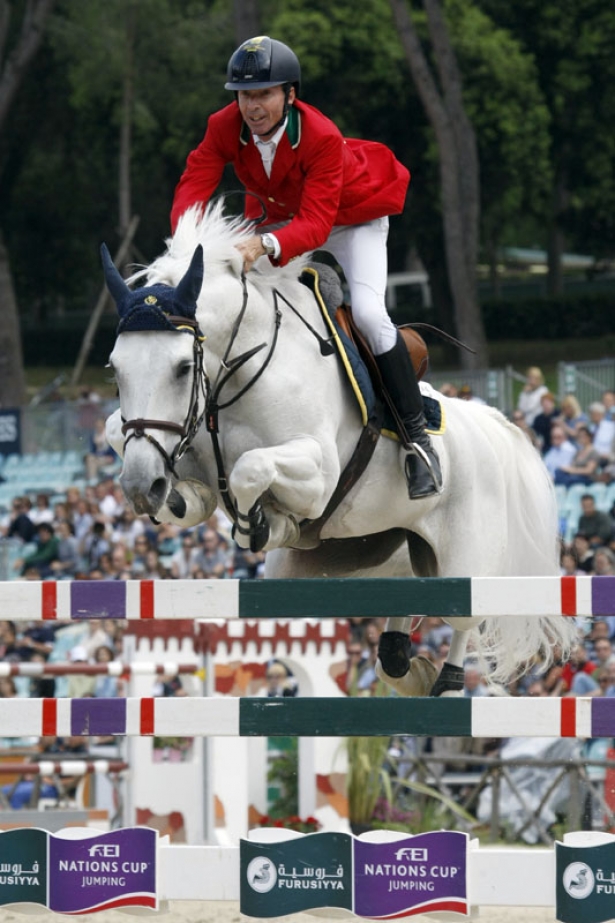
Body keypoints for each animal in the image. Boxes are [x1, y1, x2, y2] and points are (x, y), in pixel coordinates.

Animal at [102, 202, 576, 692]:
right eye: (115, 369)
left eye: (181, 368)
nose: (140, 488)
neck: (236, 374)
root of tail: (491, 425)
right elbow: (116, 431)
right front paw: (183, 497)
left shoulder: (319, 475)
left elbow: (250, 470)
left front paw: (263, 523)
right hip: (388, 548)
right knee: (404, 608)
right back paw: (407, 666)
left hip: (464, 558)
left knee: (461, 616)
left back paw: (444, 680)